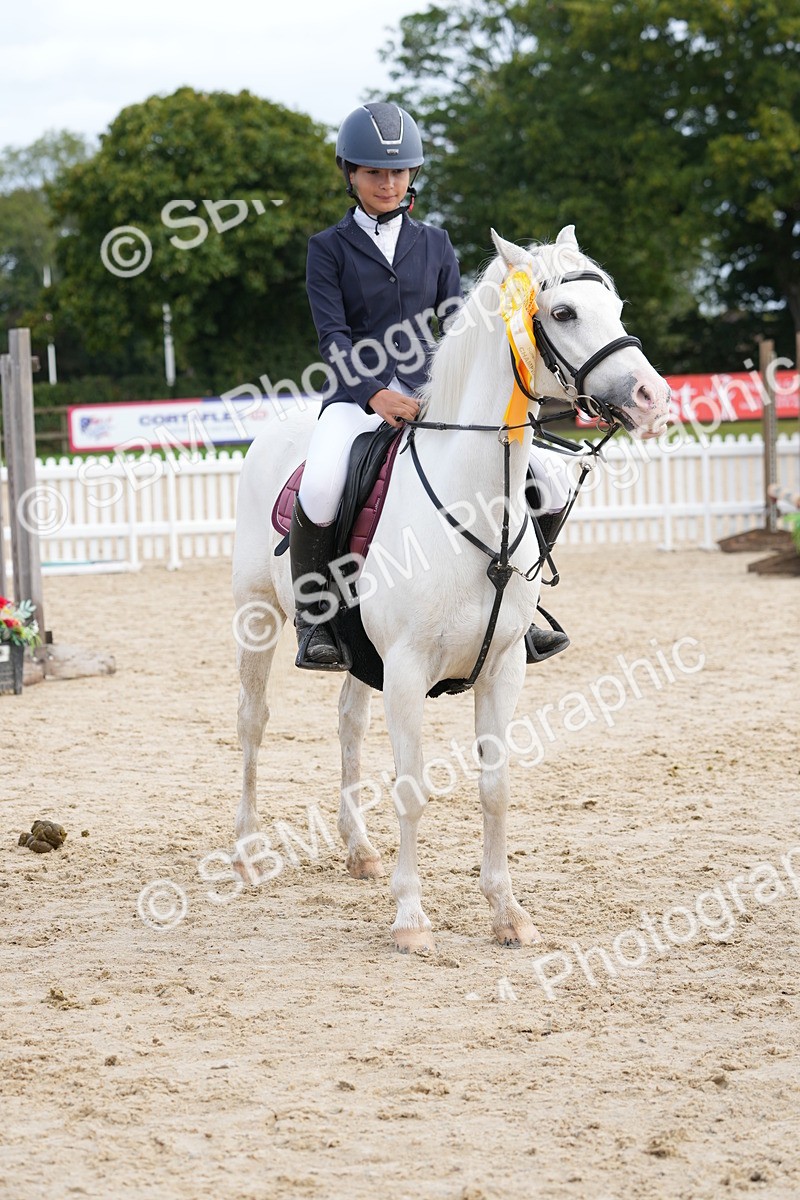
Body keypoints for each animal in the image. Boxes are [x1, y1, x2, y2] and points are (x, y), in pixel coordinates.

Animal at [231, 225, 671, 952]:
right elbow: (411, 788)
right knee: (252, 721)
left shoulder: (504, 668)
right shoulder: (409, 670)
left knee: (348, 723)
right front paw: (411, 919)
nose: (652, 399)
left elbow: (495, 787)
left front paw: (507, 912)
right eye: (562, 313)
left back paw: (359, 851)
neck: (474, 503)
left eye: (616, 307)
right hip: (257, 616)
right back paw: (244, 852)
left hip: (363, 655)